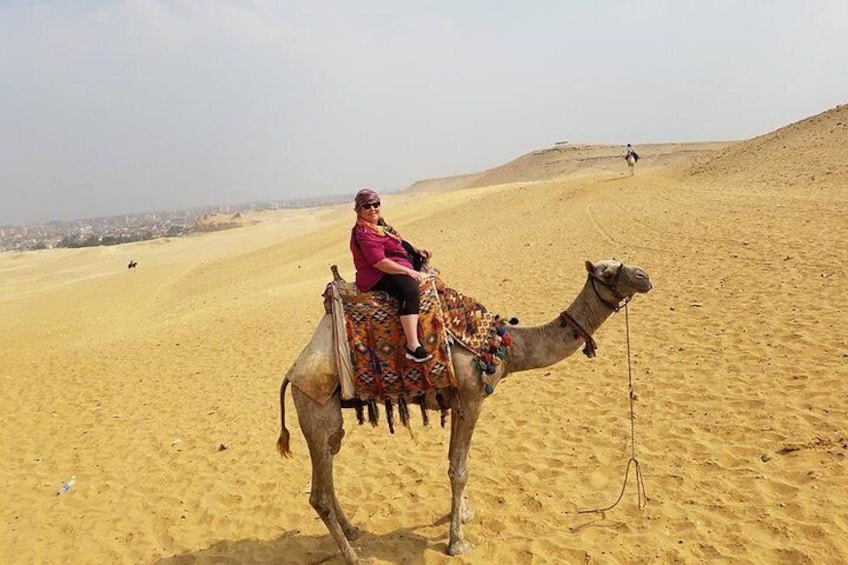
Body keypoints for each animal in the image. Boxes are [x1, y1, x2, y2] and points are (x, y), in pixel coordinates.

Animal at [278, 258, 656, 560]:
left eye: (619, 261)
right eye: (608, 272)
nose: (645, 276)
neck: (506, 347)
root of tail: (291, 372)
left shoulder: (459, 402)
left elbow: (455, 462)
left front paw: (462, 514)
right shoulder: (472, 398)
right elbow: (459, 469)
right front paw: (457, 542)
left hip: (328, 417)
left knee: (328, 471)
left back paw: (353, 530)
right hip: (314, 406)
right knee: (319, 494)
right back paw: (353, 556)